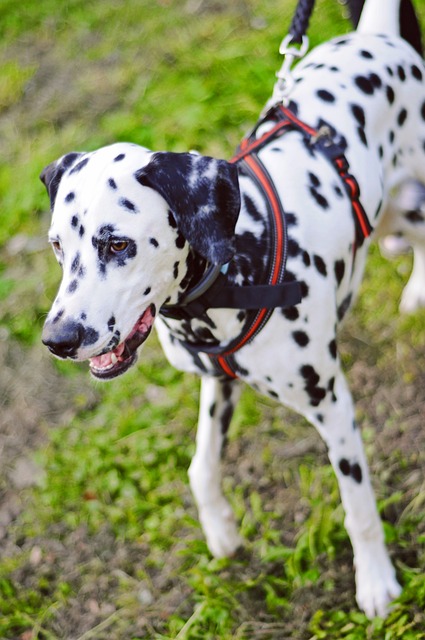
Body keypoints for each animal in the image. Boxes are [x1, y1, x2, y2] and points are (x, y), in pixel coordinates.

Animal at [39, 0, 420, 624]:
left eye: (116, 244)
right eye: (55, 245)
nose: (59, 337)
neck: (240, 260)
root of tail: (378, 37)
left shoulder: (333, 405)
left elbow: (358, 504)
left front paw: (376, 582)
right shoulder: (217, 384)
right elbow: (201, 468)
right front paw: (220, 531)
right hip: (387, 209)